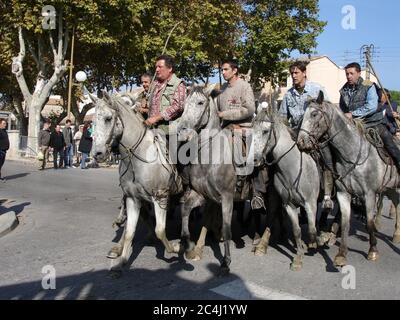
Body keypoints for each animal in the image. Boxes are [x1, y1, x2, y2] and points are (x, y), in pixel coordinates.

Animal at [90, 92, 181, 270]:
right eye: (93, 120)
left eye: (108, 118)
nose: (97, 153)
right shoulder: (133, 197)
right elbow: (130, 231)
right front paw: (121, 260)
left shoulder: (161, 196)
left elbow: (160, 230)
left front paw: (175, 247)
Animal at [250, 109, 318, 272]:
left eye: (265, 131)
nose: (254, 160)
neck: (293, 168)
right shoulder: (289, 205)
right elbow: (297, 230)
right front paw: (298, 258)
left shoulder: (311, 203)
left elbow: (312, 229)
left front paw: (312, 244)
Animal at [296, 92, 400, 268]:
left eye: (314, 114)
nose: (301, 141)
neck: (352, 154)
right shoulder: (343, 193)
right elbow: (344, 222)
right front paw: (341, 254)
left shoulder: (369, 194)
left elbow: (369, 222)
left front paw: (373, 250)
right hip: (390, 188)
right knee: (397, 203)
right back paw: (397, 234)